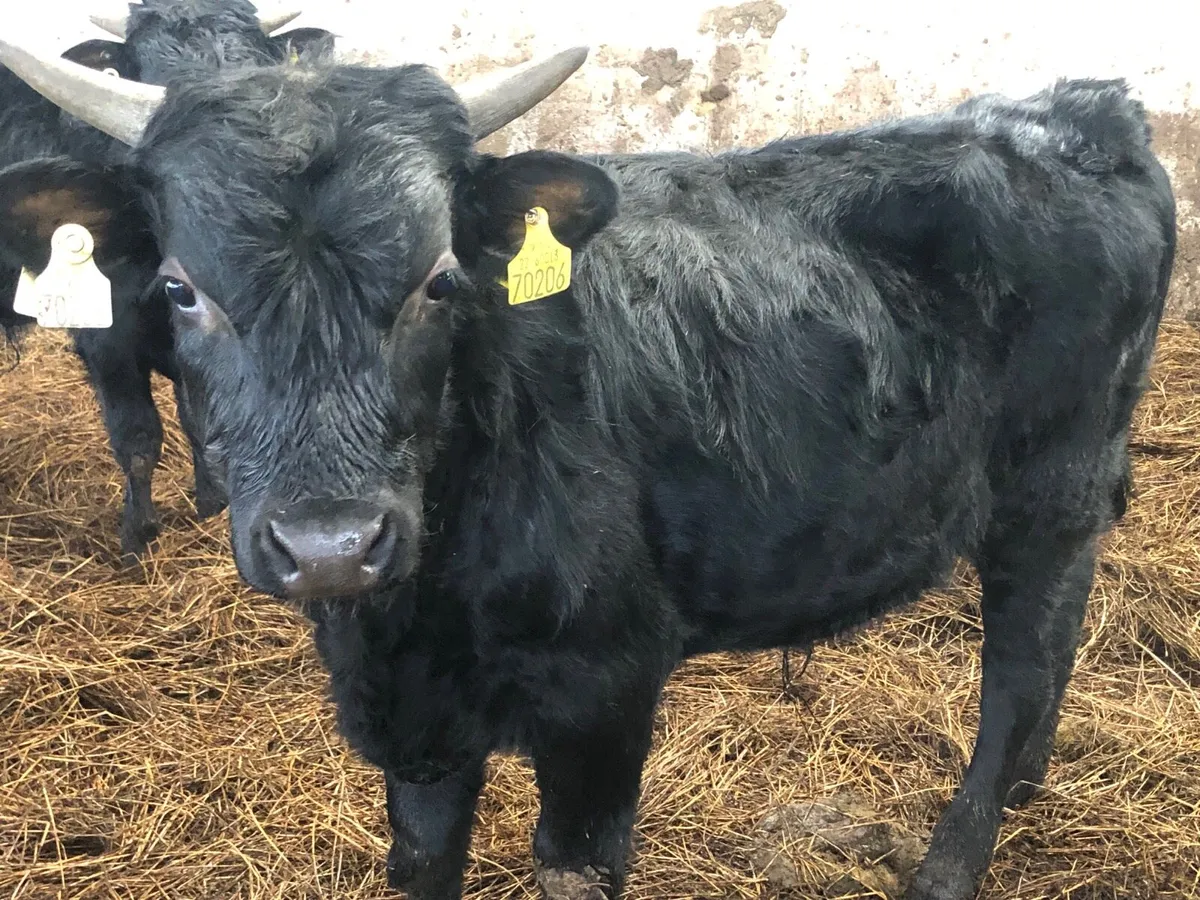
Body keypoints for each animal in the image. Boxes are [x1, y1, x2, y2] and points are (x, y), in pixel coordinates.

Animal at [0, 0, 333, 558]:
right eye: (154, 69)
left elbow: (198, 422)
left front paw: (211, 503)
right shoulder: (106, 340)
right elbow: (137, 438)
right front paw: (137, 536)